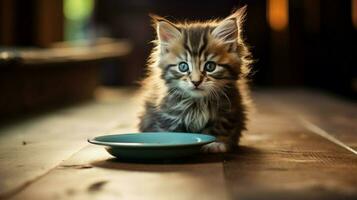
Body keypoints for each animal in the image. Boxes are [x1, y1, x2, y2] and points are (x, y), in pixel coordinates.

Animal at [138, 6, 252, 153]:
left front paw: (215, 143)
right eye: (183, 66)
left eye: (210, 66)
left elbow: (221, 127)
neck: (197, 103)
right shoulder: (168, 114)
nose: (196, 82)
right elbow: (171, 131)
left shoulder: (229, 110)